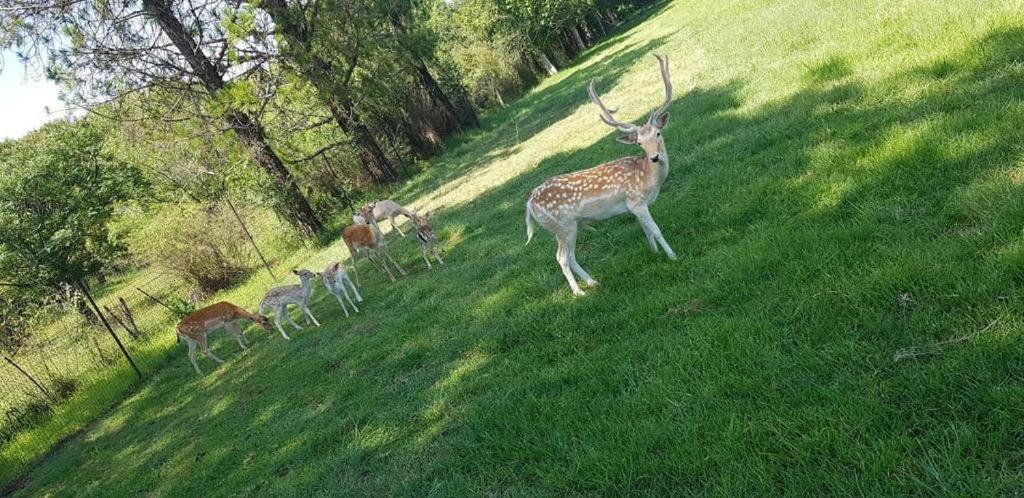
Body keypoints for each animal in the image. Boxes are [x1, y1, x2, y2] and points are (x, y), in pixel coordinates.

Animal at [528, 54, 671, 295]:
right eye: (639, 143)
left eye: (658, 133)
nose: (654, 157)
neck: (648, 180)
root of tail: (529, 204)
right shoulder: (636, 201)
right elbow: (656, 230)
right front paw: (672, 256)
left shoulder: (634, 206)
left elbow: (647, 231)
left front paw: (655, 253)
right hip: (562, 225)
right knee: (561, 257)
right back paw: (579, 292)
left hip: (570, 226)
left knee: (571, 255)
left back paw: (593, 281)